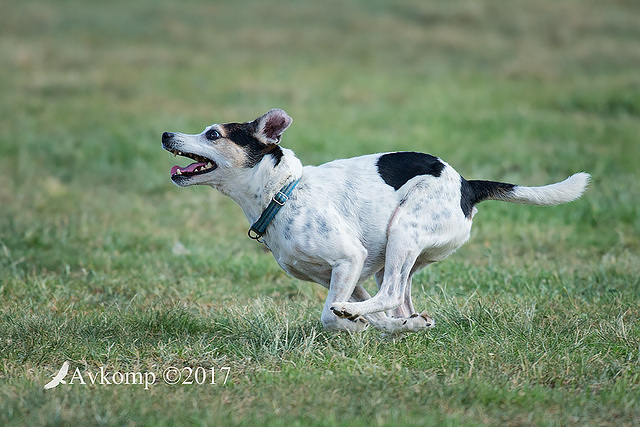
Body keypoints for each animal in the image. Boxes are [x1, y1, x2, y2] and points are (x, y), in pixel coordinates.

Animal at [161, 108, 592, 336]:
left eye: (212, 134)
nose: (166, 133)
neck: (283, 193)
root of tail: (467, 185)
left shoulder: (349, 259)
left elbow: (330, 315)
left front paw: (353, 325)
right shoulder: (342, 276)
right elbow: (374, 313)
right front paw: (385, 326)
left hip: (403, 230)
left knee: (390, 294)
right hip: (400, 257)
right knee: (399, 300)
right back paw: (409, 324)